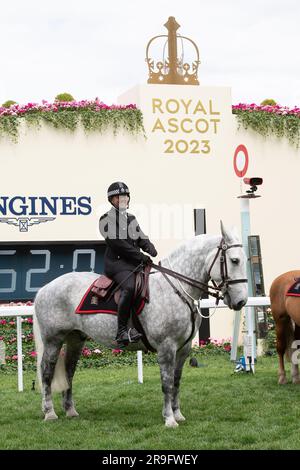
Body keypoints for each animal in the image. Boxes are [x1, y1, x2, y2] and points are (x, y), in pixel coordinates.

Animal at [34, 223, 247, 426]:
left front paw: (178, 415)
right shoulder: (166, 347)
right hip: (53, 340)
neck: (176, 288)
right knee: (47, 371)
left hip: (76, 339)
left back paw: (70, 410)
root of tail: (45, 288)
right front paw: (169, 419)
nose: (241, 302)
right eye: (234, 260)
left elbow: (176, 382)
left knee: (69, 371)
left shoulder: (183, 349)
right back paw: (50, 413)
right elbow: (167, 383)